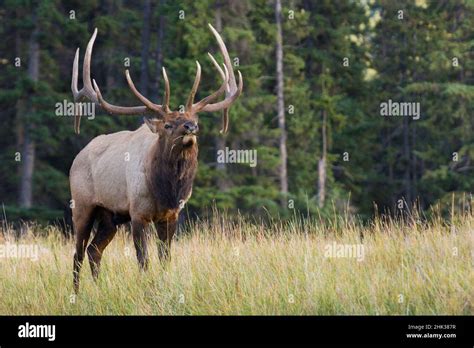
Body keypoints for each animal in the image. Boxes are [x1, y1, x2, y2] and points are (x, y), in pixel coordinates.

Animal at [69, 24, 244, 290]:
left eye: (194, 118)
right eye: (169, 124)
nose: (191, 127)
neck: (165, 189)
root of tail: (76, 158)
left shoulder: (171, 215)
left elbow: (165, 259)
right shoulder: (138, 213)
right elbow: (144, 260)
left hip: (109, 217)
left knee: (93, 250)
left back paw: (98, 288)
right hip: (83, 206)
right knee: (77, 253)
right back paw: (78, 293)